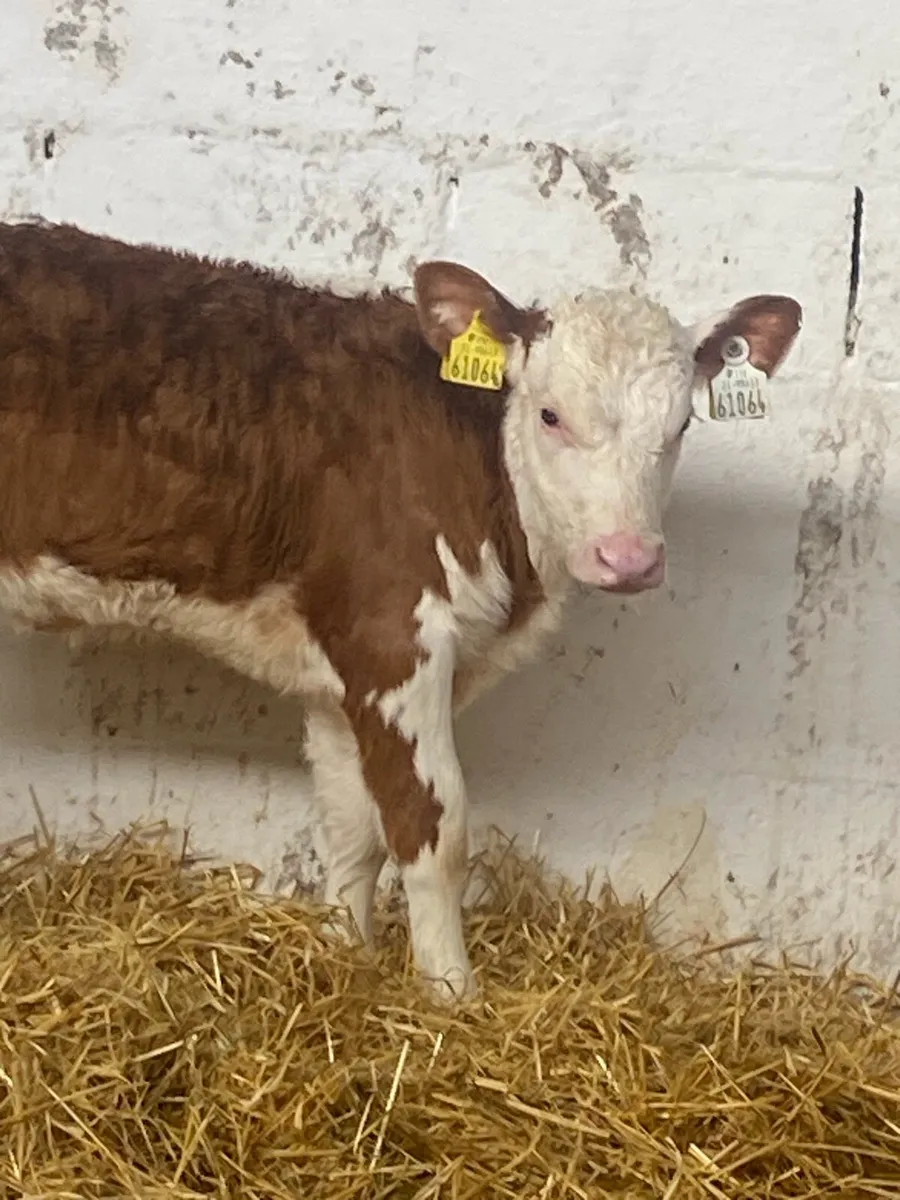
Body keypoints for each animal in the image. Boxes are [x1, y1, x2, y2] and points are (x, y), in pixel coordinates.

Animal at [0, 220, 802, 1001]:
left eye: (682, 427)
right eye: (550, 416)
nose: (629, 557)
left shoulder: (338, 671)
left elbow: (353, 826)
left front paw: (340, 954)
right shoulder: (393, 641)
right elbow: (431, 828)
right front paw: (451, 993)